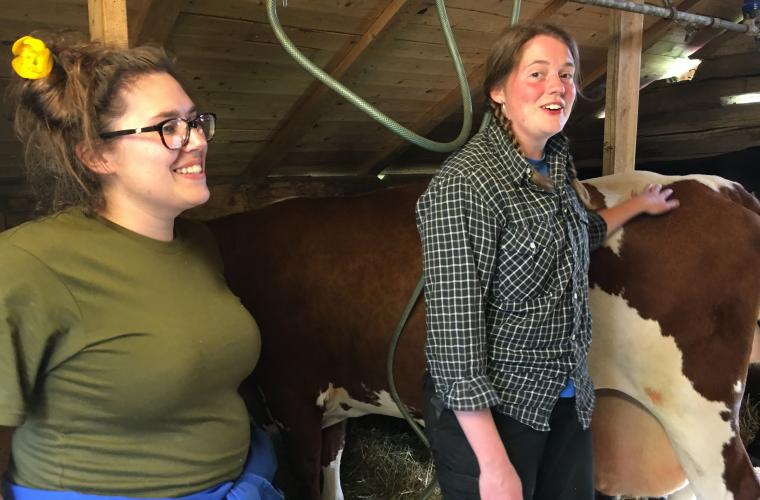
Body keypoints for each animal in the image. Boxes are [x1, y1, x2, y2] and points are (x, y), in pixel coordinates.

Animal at [208, 171, 760, 500]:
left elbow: (306, 478)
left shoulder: (292, 398)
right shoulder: (332, 405)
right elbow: (332, 475)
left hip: (697, 415)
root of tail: (725, 188)